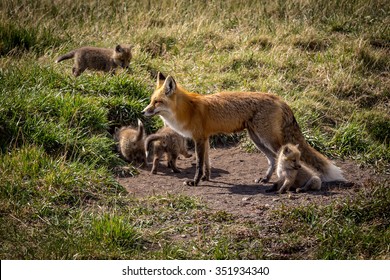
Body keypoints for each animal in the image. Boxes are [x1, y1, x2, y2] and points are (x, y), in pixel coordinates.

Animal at [142, 72, 344, 186]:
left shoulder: (199, 138)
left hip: (267, 138)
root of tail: (279, 98)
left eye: (157, 102)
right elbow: (207, 163)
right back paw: (266, 179)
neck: (188, 111)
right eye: (151, 101)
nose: (143, 111)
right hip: (256, 138)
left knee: (281, 157)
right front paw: (207, 178)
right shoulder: (205, 139)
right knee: (272, 159)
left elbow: (199, 164)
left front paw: (195, 182)